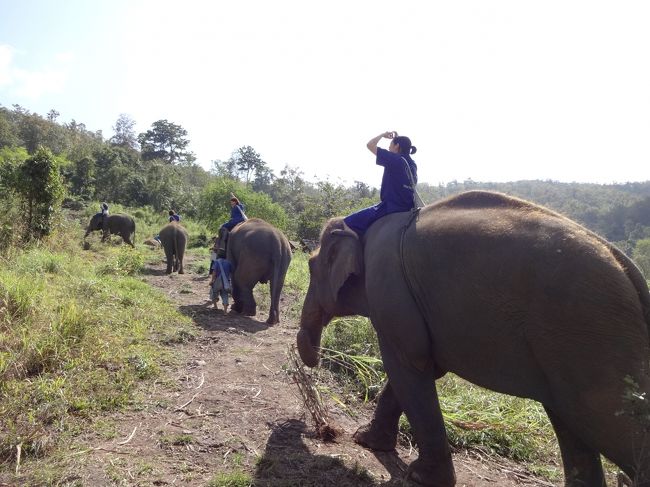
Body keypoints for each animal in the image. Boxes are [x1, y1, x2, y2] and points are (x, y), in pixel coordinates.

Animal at [294, 190, 648, 487]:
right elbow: (422, 367)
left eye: (311, 266)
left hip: (587, 336)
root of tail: (630, 270)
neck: (363, 226)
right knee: (571, 425)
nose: (314, 360)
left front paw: (419, 477)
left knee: (607, 424)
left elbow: (408, 363)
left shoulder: (391, 285)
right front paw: (366, 441)